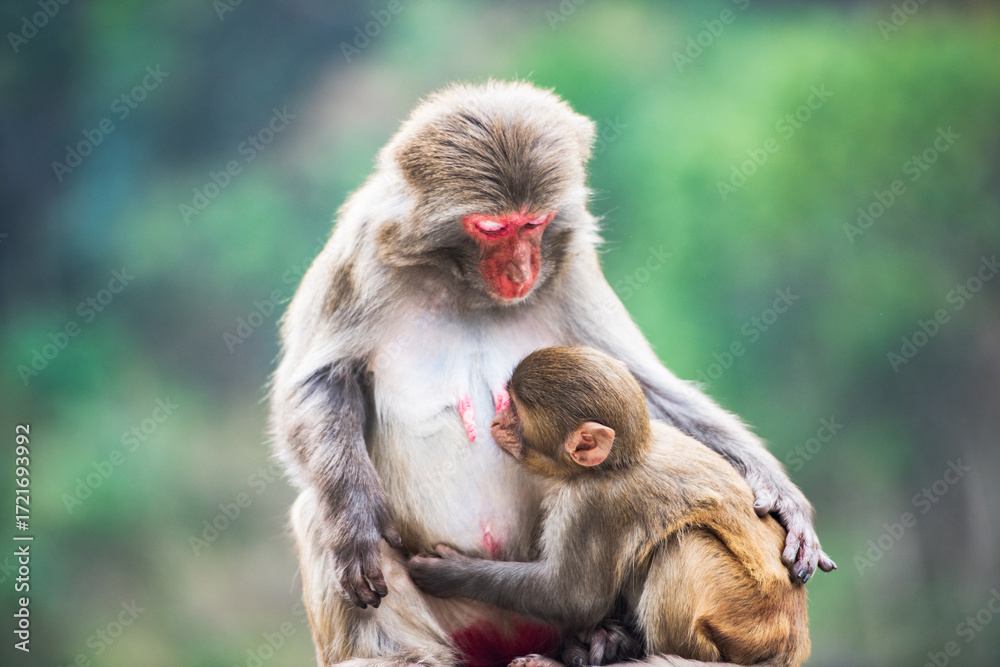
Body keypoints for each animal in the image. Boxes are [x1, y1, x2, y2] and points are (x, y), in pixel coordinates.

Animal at [406, 346, 811, 667]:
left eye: (516, 413)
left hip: (746, 621)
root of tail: (790, 647)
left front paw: (450, 572)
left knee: (683, 546)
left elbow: (573, 597)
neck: (616, 463)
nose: (497, 420)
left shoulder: (594, 504)